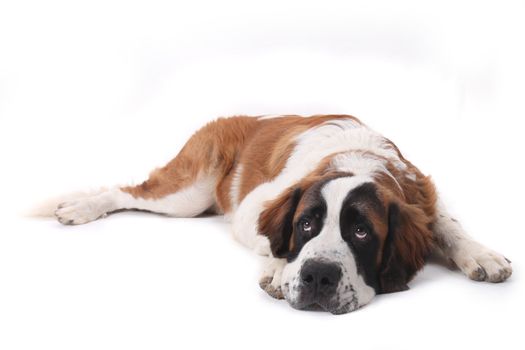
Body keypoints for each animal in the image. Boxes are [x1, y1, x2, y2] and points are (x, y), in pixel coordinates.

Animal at [51, 114, 510, 314]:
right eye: (305, 224)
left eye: (362, 232)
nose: (318, 277)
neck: (357, 161)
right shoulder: (252, 206)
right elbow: (270, 240)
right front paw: (278, 271)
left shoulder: (424, 198)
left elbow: (448, 226)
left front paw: (482, 254)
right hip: (188, 194)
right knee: (125, 192)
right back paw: (80, 207)